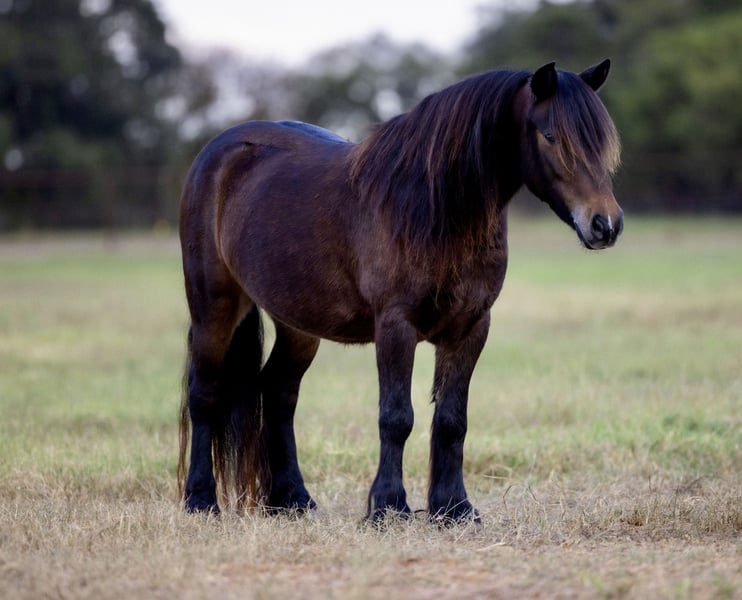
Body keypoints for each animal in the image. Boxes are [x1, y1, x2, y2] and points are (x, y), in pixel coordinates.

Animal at [177, 60, 623, 523]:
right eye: (550, 135)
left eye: (601, 141)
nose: (605, 224)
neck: (433, 208)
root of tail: (219, 152)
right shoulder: (396, 326)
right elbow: (396, 417)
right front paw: (388, 507)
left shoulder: (472, 327)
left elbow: (452, 420)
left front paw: (454, 508)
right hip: (214, 306)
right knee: (204, 393)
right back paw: (200, 500)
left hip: (297, 322)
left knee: (279, 393)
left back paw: (293, 499)